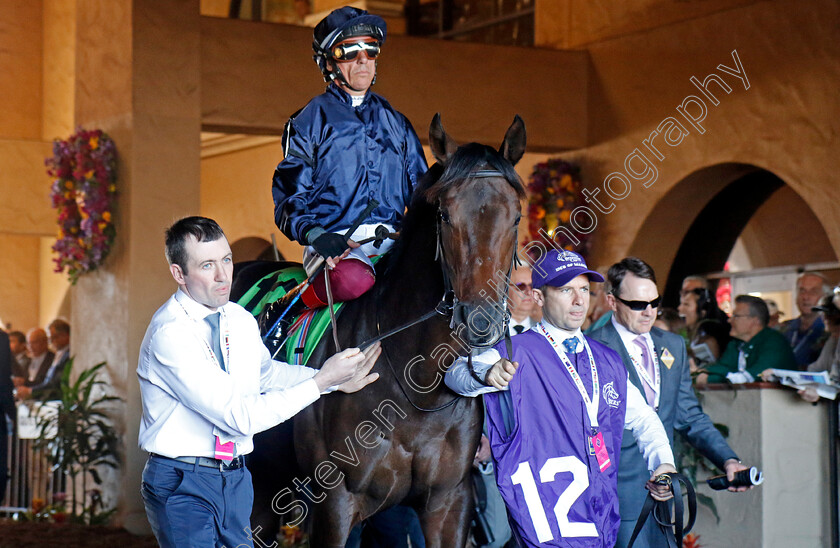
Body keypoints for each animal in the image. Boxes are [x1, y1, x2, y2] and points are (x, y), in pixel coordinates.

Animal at [240, 113, 524, 544]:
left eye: (516, 217)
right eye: (445, 216)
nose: (480, 320)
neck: (416, 387)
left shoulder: (450, 501)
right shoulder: (336, 502)